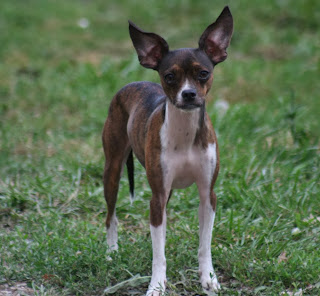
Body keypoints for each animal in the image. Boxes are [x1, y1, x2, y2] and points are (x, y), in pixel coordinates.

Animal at [102, 6, 232, 294]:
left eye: (203, 73)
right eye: (169, 76)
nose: (189, 94)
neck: (184, 133)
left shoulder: (208, 195)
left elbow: (204, 245)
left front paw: (209, 278)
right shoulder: (157, 197)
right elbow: (158, 253)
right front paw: (157, 285)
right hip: (112, 170)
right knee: (110, 216)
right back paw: (111, 251)